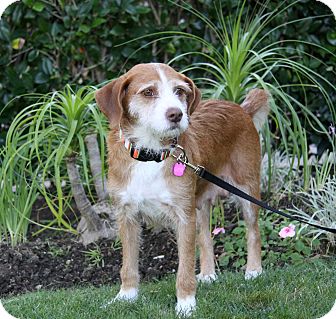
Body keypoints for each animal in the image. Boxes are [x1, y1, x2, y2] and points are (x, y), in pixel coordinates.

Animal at [95, 63, 270, 318]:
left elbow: (185, 267)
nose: (176, 114)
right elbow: (128, 265)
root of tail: (241, 109)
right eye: (148, 92)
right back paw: (208, 274)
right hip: (199, 203)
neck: (151, 154)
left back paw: (254, 270)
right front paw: (126, 296)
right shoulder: (126, 215)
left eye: (179, 91)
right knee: (206, 237)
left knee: (253, 231)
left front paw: (186, 304)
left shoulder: (183, 216)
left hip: (247, 188)